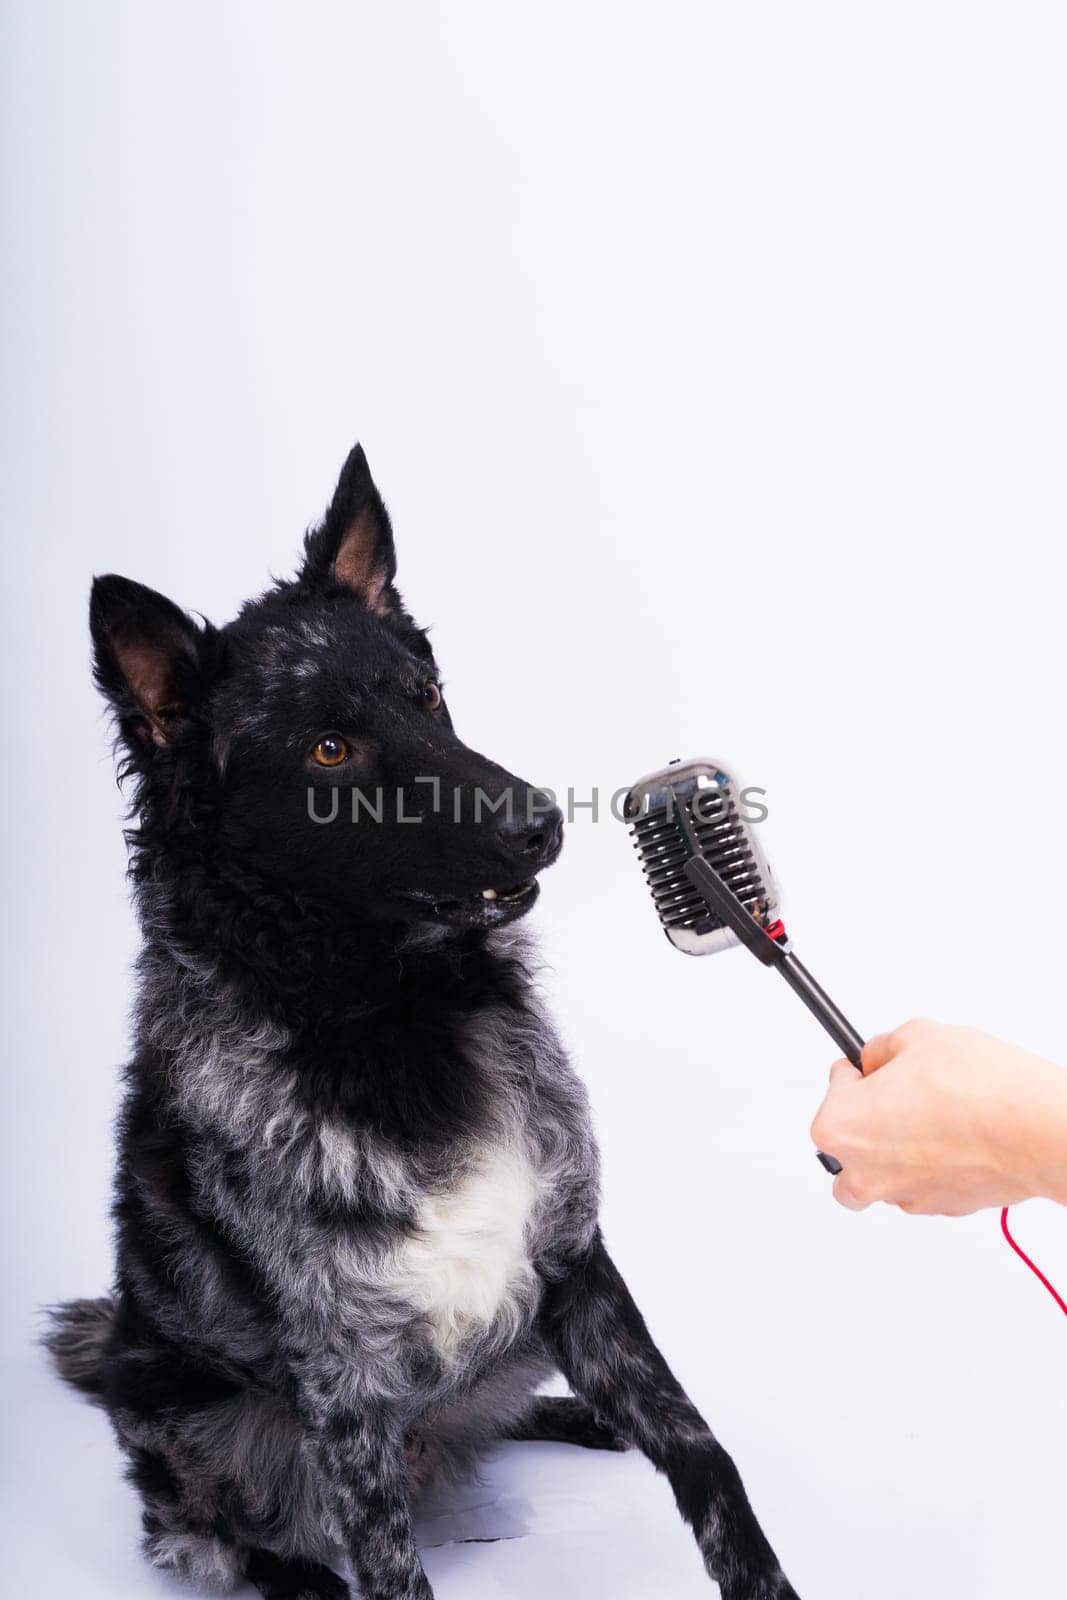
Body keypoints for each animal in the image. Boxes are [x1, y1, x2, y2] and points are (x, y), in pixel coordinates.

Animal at [47, 441, 799, 1600]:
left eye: (428, 694)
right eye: (327, 752)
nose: (541, 823)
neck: (389, 1013)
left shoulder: (573, 1260)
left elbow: (698, 1447)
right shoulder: (342, 1377)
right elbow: (385, 1560)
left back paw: (576, 1415)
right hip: (188, 1420)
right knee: (201, 1527)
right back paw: (294, 1576)